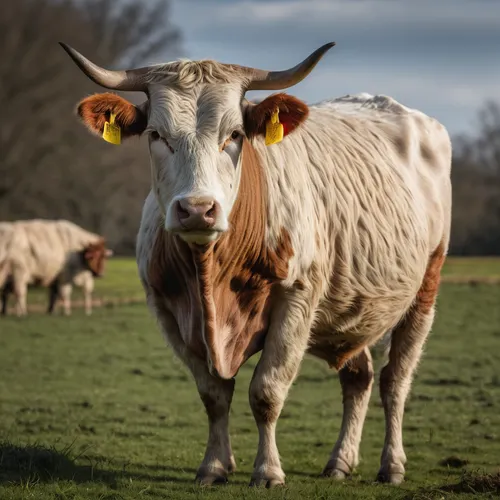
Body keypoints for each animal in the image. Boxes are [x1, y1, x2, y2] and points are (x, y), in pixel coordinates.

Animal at [60, 43, 452, 488]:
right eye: (156, 135)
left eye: (234, 135)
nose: (197, 209)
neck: (211, 276)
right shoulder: (168, 309)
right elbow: (213, 395)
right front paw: (215, 466)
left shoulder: (296, 300)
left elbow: (266, 391)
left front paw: (267, 470)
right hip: (350, 307)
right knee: (358, 379)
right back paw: (340, 461)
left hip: (424, 292)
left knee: (395, 381)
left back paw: (392, 464)